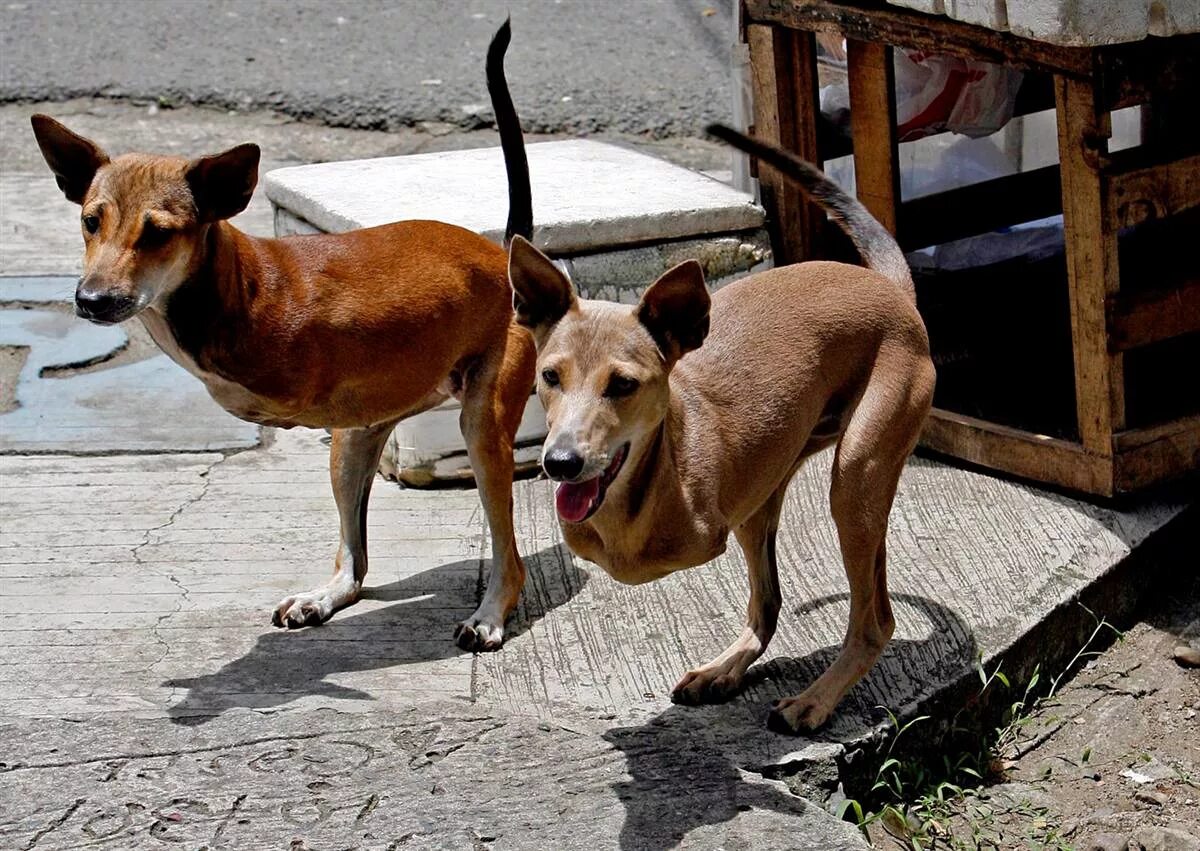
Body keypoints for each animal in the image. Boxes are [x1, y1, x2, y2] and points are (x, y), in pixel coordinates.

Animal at [30, 21, 537, 652]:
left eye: (159, 234)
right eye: (90, 221)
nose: (92, 300)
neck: (229, 287)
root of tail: (501, 256)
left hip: (482, 427)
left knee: (508, 553)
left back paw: (490, 613)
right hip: (352, 447)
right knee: (354, 562)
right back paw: (325, 596)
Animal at [508, 126, 936, 729]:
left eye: (623, 384)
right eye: (549, 376)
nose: (559, 463)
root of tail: (890, 287)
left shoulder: (704, 532)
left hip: (857, 476)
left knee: (875, 619)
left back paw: (814, 700)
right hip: (769, 499)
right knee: (769, 604)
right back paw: (724, 669)